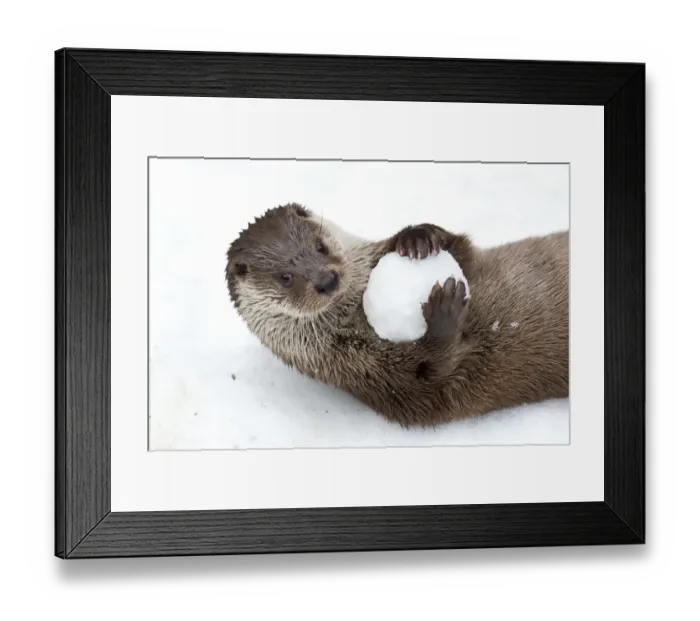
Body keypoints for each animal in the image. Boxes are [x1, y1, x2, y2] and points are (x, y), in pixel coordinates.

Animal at [226, 203, 568, 428]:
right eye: (284, 277)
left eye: (320, 246)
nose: (326, 280)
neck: (355, 316)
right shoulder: (371, 376)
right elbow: (434, 381)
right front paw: (444, 315)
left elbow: (464, 251)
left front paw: (416, 237)